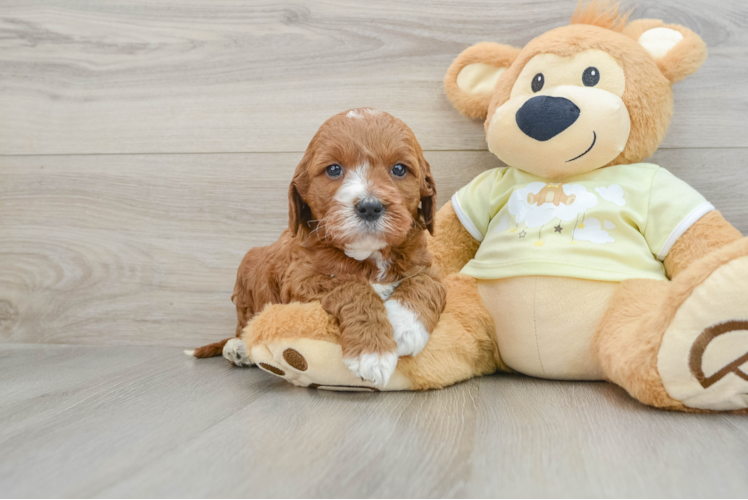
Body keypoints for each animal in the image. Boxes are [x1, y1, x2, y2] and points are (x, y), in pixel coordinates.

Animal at [193, 107, 448, 384]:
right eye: (334, 169)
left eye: (399, 169)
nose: (370, 206)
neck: (368, 254)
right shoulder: (300, 279)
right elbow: (351, 285)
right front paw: (373, 353)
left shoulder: (425, 265)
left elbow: (426, 283)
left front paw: (404, 327)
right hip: (247, 267)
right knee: (244, 323)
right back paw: (239, 348)